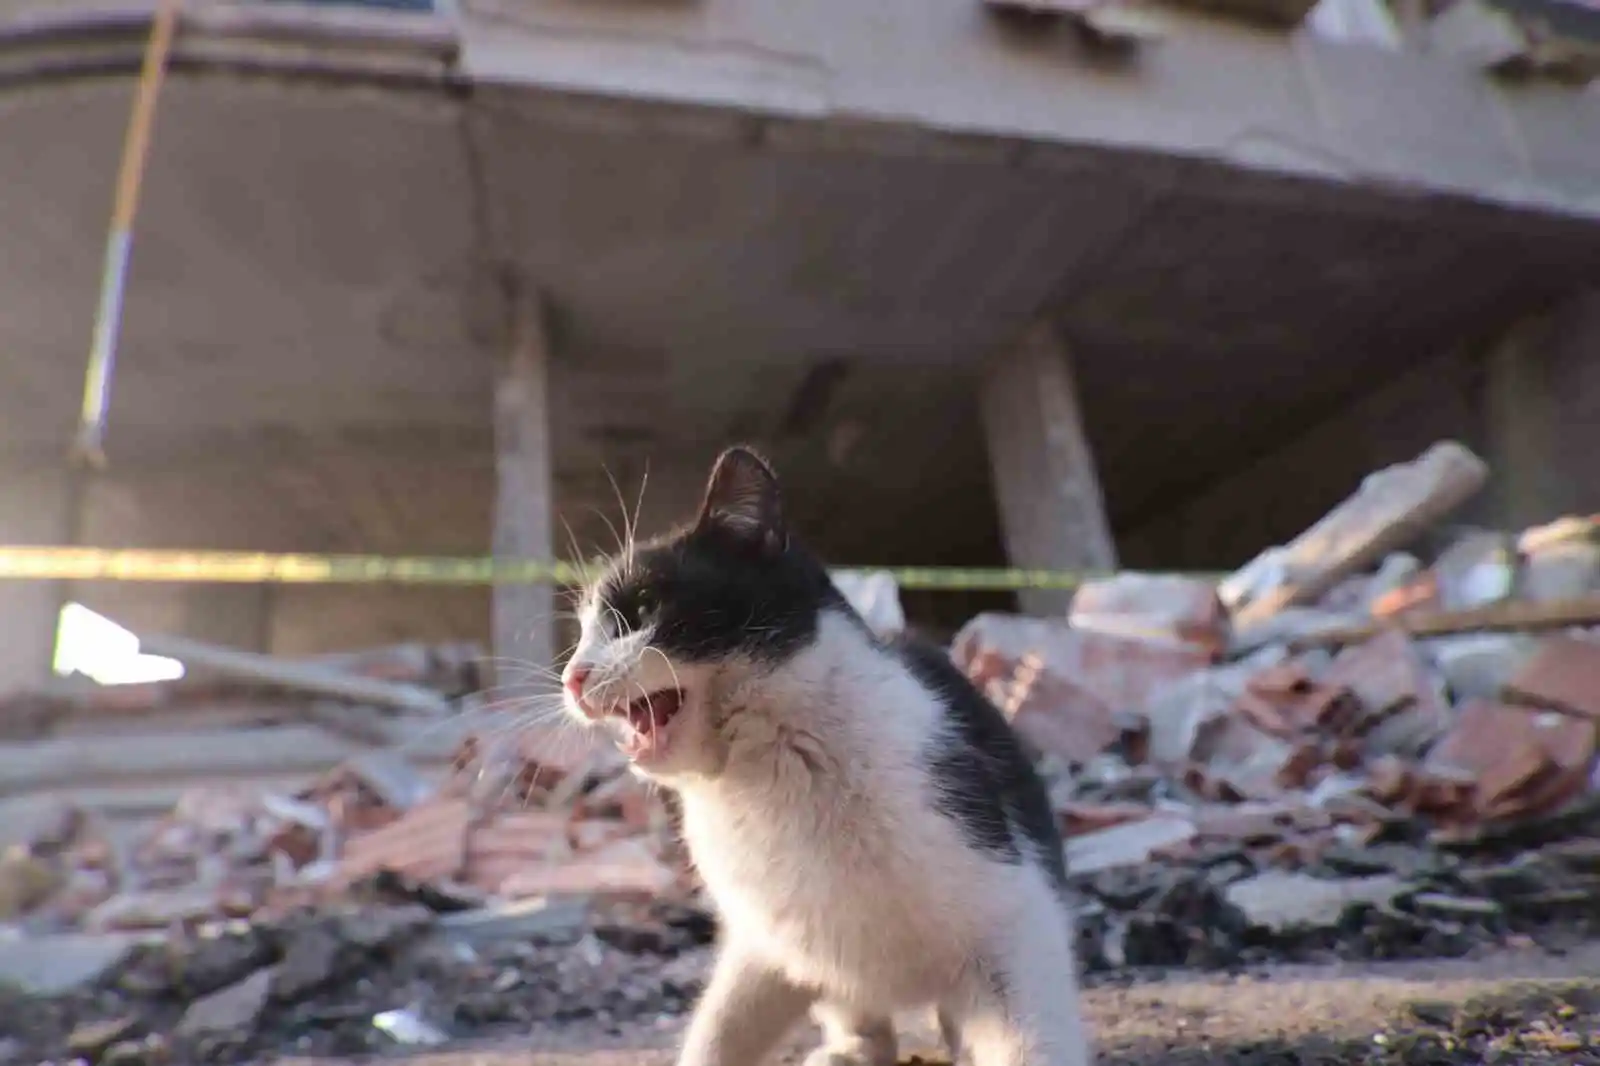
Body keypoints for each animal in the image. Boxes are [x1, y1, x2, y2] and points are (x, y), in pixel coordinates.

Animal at [556, 444, 1094, 1062]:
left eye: (642, 610)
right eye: (582, 632)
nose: (572, 676)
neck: (768, 774)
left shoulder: (1017, 923)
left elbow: (1032, 1040)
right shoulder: (764, 943)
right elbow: (718, 1031)